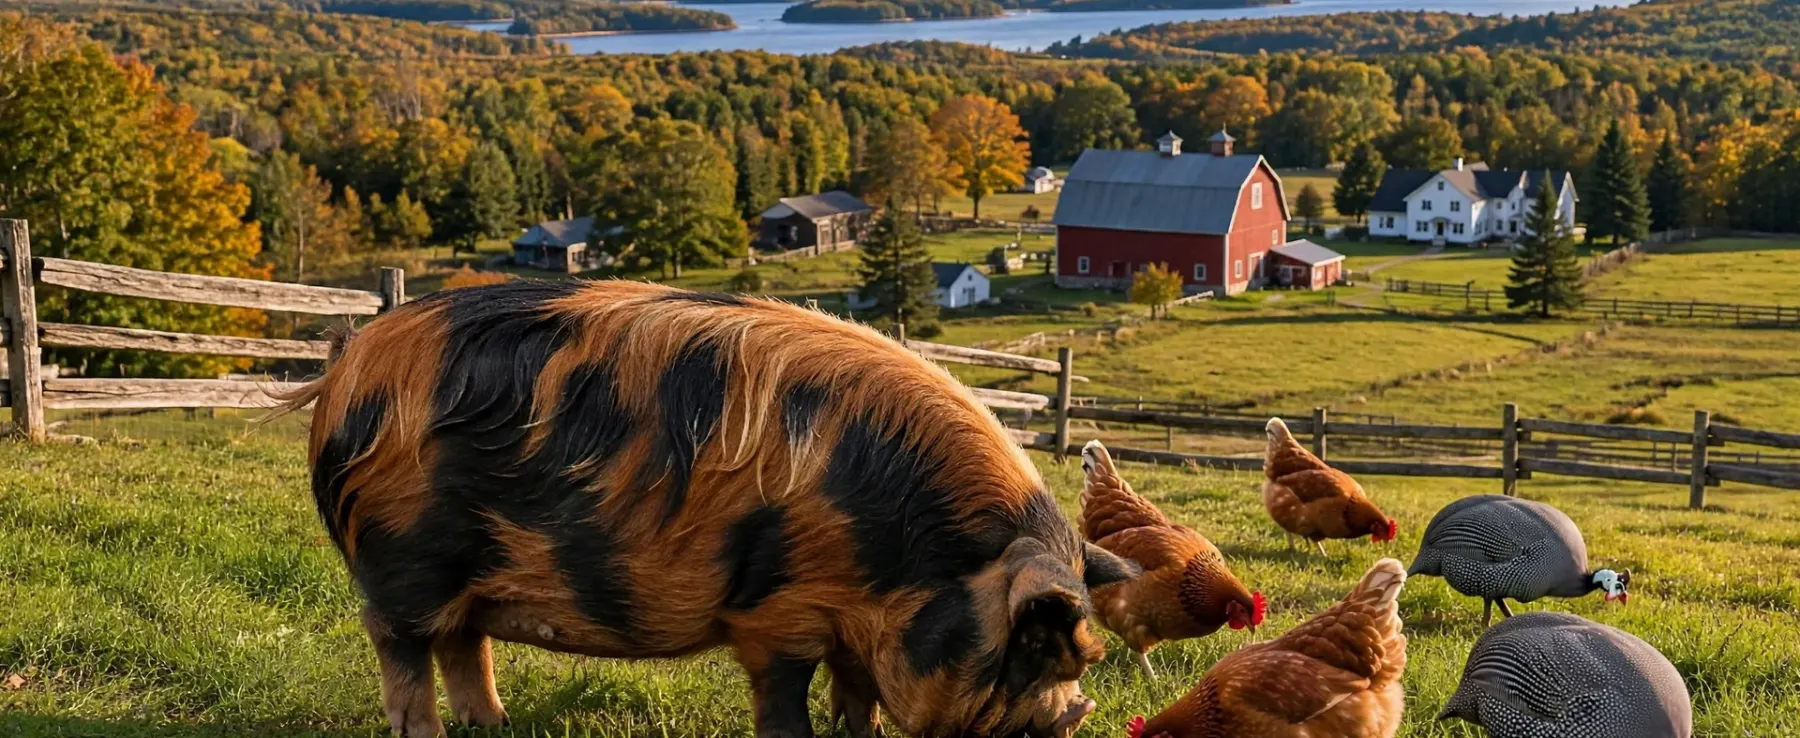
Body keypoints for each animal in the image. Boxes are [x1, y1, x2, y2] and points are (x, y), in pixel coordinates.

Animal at [281, 279, 1133, 738]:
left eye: (1084, 658)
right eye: (1033, 648)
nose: (1071, 714)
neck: (905, 556)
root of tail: (349, 366)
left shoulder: (855, 624)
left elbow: (858, 695)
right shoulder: (775, 613)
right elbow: (786, 699)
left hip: (464, 576)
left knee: (464, 643)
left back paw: (494, 724)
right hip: (403, 556)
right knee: (400, 645)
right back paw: (428, 729)